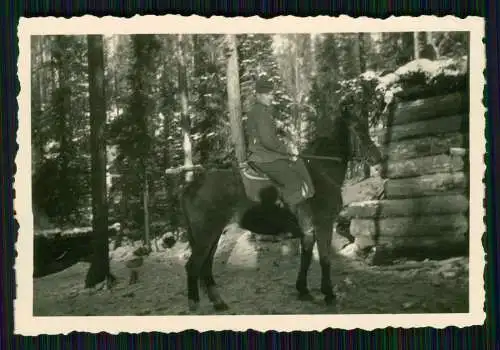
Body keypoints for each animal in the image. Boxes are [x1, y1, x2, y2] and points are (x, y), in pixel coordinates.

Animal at [174, 110, 380, 312]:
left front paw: (303, 290)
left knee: (205, 266)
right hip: (206, 234)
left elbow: (306, 258)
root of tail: (192, 185)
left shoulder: (309, 231)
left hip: (213, 234)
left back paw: (218, 302)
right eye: (359, 129)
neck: (323, 172)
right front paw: (328, 294)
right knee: (193, 266)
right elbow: (325, 259)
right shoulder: (324, 225)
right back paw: (194, 304)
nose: (378, 157)